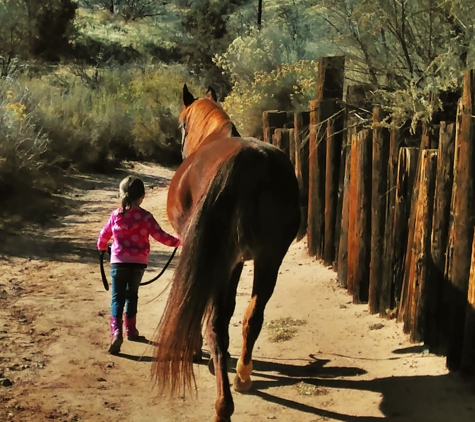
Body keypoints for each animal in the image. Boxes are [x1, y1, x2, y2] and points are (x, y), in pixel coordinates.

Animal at [152, 85, 302, 422]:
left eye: (181, 126)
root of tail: (248, 162)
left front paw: (197, 351)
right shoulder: (239, 262)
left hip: (224, 260)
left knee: (217, 325)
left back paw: (223, 406)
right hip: (269, 259)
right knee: (253, 316)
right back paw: (243, 376)